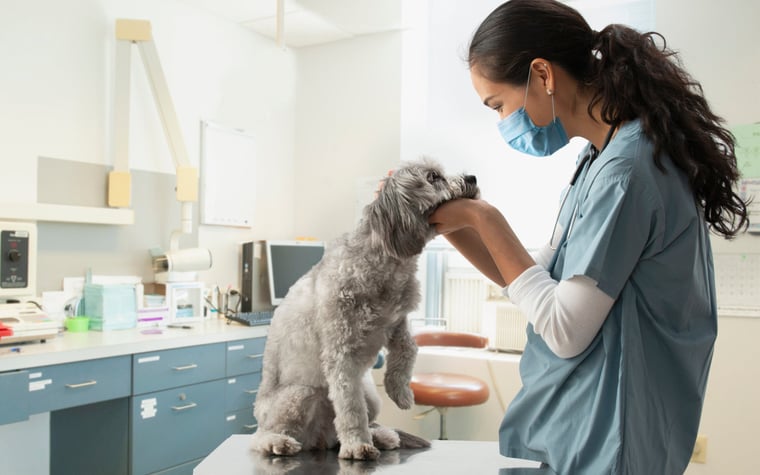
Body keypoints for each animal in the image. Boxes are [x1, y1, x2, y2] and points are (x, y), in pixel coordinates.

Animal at [252, 160, 478, 462]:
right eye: (433, 177)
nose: (472, 177)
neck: (385, 260)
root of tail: (320, 439)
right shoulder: (341, 354)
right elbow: (351, 409)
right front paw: (358, 445)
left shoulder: (397, 322)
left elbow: (409, 349)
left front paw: (401, 392)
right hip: (299, 395)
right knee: (262, 437)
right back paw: (280, 442)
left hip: (370, 396)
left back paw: (382, 435)